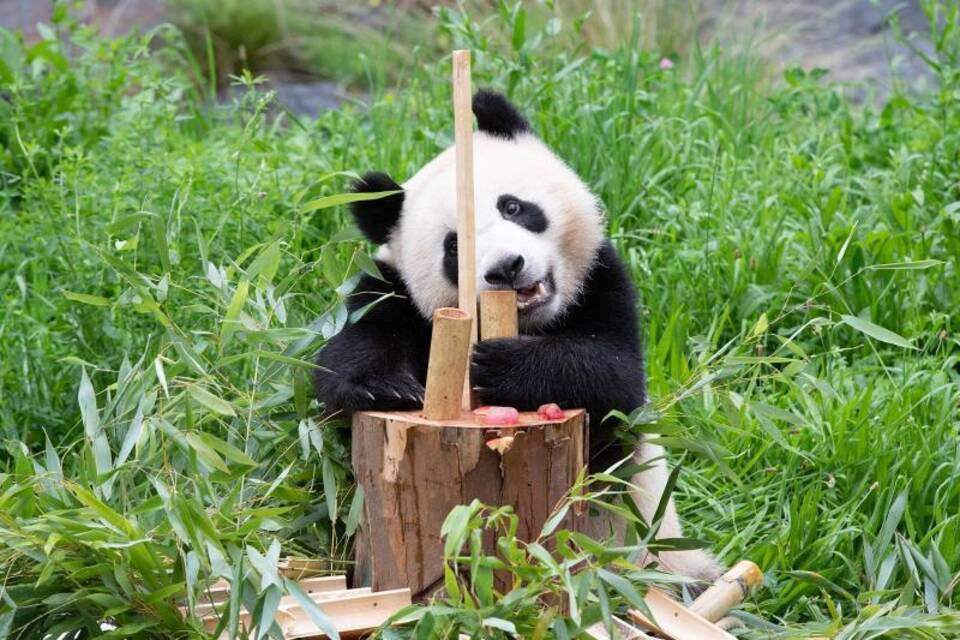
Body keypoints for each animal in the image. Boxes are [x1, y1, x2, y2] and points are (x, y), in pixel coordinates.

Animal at [314, 90, 720, 584]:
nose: (507, 267)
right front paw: (384, 386)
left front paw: (499, 365)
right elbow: (350, 353)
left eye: (513, 207)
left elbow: (614, 378)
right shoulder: (390, 290)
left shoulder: (601, 281)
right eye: (454, 246)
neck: (534, 324)